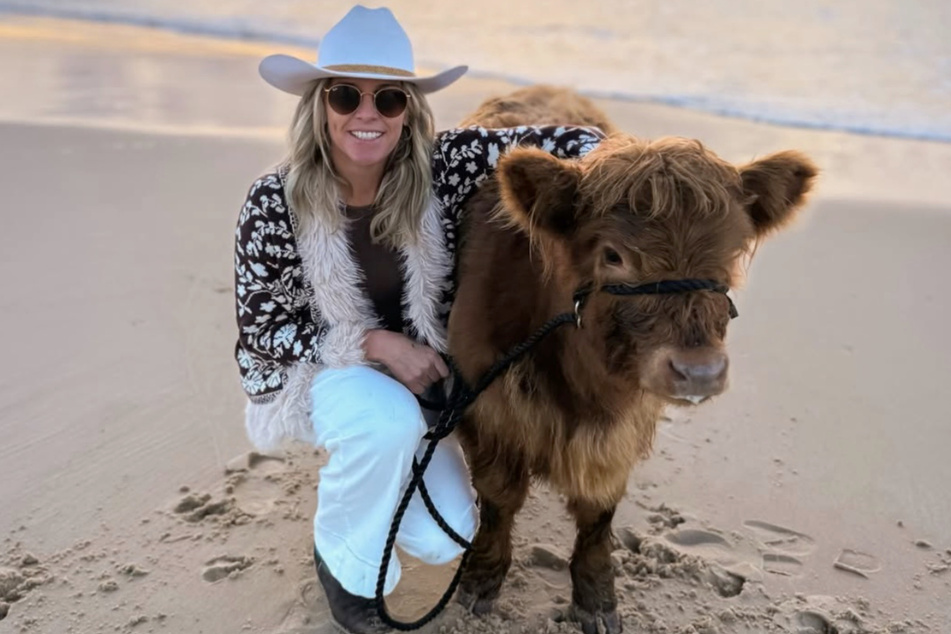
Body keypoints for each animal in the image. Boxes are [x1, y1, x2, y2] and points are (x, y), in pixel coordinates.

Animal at [447, 86, 817, 634]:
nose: (699, 371)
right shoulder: (483, 403)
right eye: (614, 255)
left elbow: (598, 513)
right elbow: (499, 499)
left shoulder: (624, 428)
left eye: (730, 254)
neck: (581, 397)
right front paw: (479, 582)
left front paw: (597, 598)